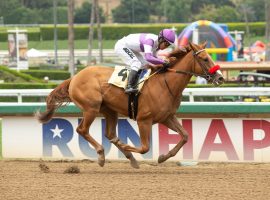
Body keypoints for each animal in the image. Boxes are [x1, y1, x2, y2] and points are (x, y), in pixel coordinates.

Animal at [36, 42, 226, 169]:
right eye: (204, 59)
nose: (220, 77)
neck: (166, 83)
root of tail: (74, 77)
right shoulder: (144, 120)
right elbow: (145, 147)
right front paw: (130, 147)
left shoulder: (166, 117)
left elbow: (185, 136)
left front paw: (163, 157)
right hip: (91, 108)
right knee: (82, 130)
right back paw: (102, 155)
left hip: (109, 110)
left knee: (110, 134)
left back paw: (129, 157)